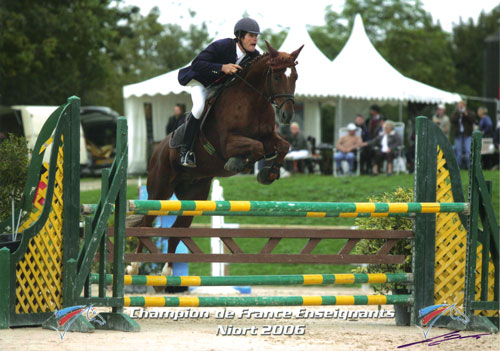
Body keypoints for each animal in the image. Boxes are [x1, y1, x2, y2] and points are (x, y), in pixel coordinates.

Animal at [127, 40, 302, 278]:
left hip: (194, 197)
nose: (287, 116)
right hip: (159, 191)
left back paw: (168, 269)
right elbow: (255, 148)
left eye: (295, 77)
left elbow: (283, 146)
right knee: (146, 222)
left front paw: (269, 173)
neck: (253, 100)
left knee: (177, 229)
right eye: (276, 77)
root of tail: (157, 151)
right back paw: (134, 265)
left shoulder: (267, 137)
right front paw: (239, 163)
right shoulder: (227, 143)